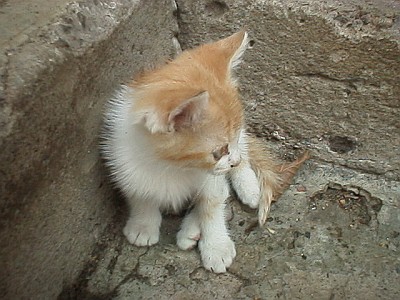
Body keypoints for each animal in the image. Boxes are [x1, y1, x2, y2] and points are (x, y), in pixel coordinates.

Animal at [101, 31, 308, 274]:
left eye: (231, 143)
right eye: (219, 151)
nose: (234, 160)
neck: (171, 165)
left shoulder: (215, 175)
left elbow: (212, 204)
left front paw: (216, 245)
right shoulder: (122, 161)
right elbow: (140, 194)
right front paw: (143, 223)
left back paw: (245, 187)